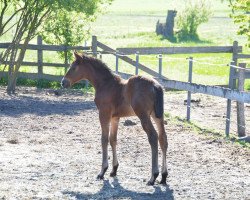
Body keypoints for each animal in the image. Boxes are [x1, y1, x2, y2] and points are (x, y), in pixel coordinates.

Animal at [61, 52, 169, 186]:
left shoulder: (104, 114)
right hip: (157, 115)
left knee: (153, 137)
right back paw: (164, 176)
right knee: (163, 138)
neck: (105, 84)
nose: (63, 82)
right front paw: (114, 170)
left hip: (143, 115)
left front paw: (102, 171)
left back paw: (153, 176)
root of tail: (155, 85)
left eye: (74, 67)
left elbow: (104, 139)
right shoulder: (115, 118)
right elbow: (113, 139)